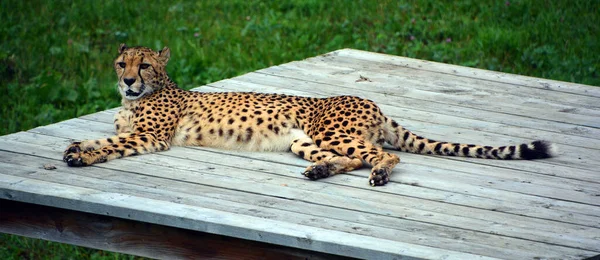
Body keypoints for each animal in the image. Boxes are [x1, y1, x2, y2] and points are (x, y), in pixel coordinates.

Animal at [63, 45, 556, 187]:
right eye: (121, 63)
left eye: (144, 65)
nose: (129, 80)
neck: (137, 99)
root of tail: (373, 102)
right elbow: (99, 139)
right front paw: (74, 150)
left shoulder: (150, 138)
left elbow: (112, 144)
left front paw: (82, 155)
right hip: (305, 139)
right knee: (354, 158)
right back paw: (320, 171)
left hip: (329, 132)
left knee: (382, 155)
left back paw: (379, 174)